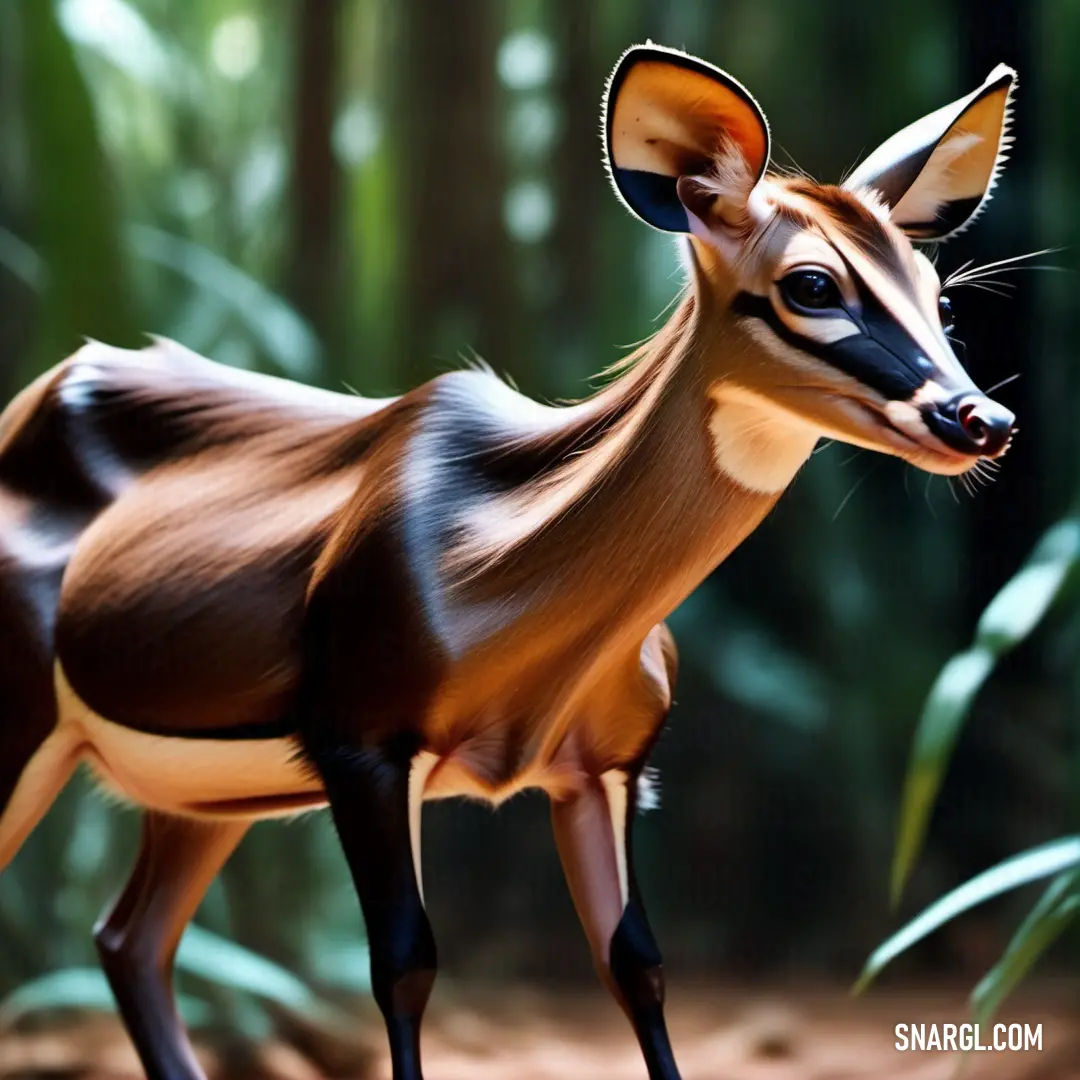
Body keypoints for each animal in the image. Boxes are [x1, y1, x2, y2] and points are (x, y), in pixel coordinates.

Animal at [0, 44, 1015, 1080]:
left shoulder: (606, 764)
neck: (492, 563)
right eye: (812, 285)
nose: (981, 419)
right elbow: (404, 967)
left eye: (937, 295)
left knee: (129, 940)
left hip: (204, 797)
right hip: (32, 727)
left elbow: (637, 964)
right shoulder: (361, 745)